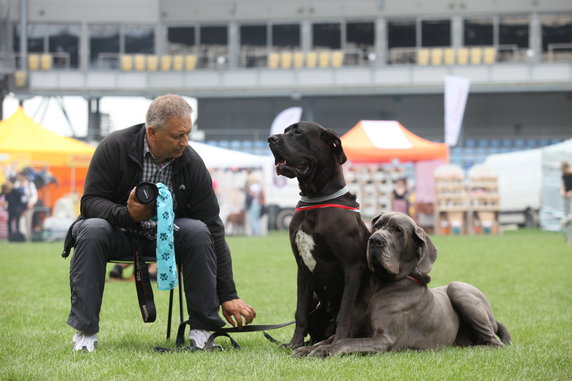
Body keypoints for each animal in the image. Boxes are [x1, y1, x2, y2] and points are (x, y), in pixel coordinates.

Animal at [268, 121, 370, 348]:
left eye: (298, 132)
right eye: (285, 131)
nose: (271, 139)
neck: (316, 200)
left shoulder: (352, 267)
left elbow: (345, 312)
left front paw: (339, 342)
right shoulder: (303, 268)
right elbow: (300, 313)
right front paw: (294, 344)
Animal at [302, 211, 512, 356]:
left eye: (398, 231)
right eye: (376, 226)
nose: (374, 240)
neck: (378, 285)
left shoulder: (383, 338)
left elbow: (345, 343)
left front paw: (325, 351)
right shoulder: (353, 329)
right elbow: (330, 339)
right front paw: (308, 348)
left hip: (458, 288)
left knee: (495, 343)